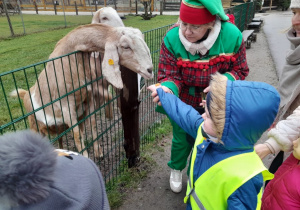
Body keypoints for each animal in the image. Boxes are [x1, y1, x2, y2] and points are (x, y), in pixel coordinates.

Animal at [11, 23, 152, 158]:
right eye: (125, 46)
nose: (149, 70)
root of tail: (26, 94)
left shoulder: (88, 97)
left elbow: (93, 123)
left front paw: (99, 152)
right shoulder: (66, 105)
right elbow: (77, 134)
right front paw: (86, 156)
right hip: (34, 125)